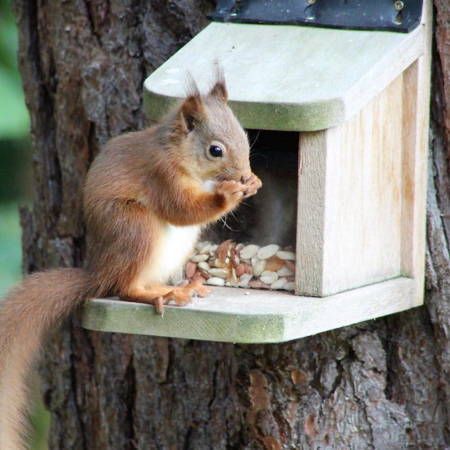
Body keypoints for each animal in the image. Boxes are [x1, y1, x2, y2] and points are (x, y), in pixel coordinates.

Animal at [0, 79, 262, 448]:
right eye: (215, 150)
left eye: (243, 135)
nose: (242, 175)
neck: (179, 155)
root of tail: (99, 271)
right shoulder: (160, 175)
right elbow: (181, 209)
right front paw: (228, 195)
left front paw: (253, 182)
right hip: (134, 228)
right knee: (125, 288)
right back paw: (157, 295)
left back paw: (183, 287)